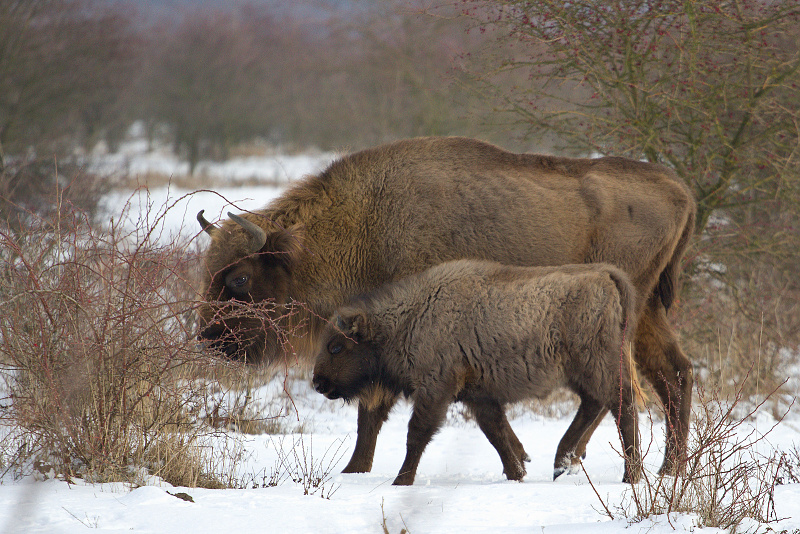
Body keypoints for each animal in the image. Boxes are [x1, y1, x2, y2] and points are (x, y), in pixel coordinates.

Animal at [312, 262, 644, 488]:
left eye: (336, 346)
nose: (317, 382)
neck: (412, 317)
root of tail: (605, 275)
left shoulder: (436, 389)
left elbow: (417, 434)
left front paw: (400, 482)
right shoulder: (479, 395)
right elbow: (495, 433)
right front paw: (517, 475)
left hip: (595, 366)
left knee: (622, 407)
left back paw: (630, 477)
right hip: (585, 373)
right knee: (595, 405)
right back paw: (561, 464)